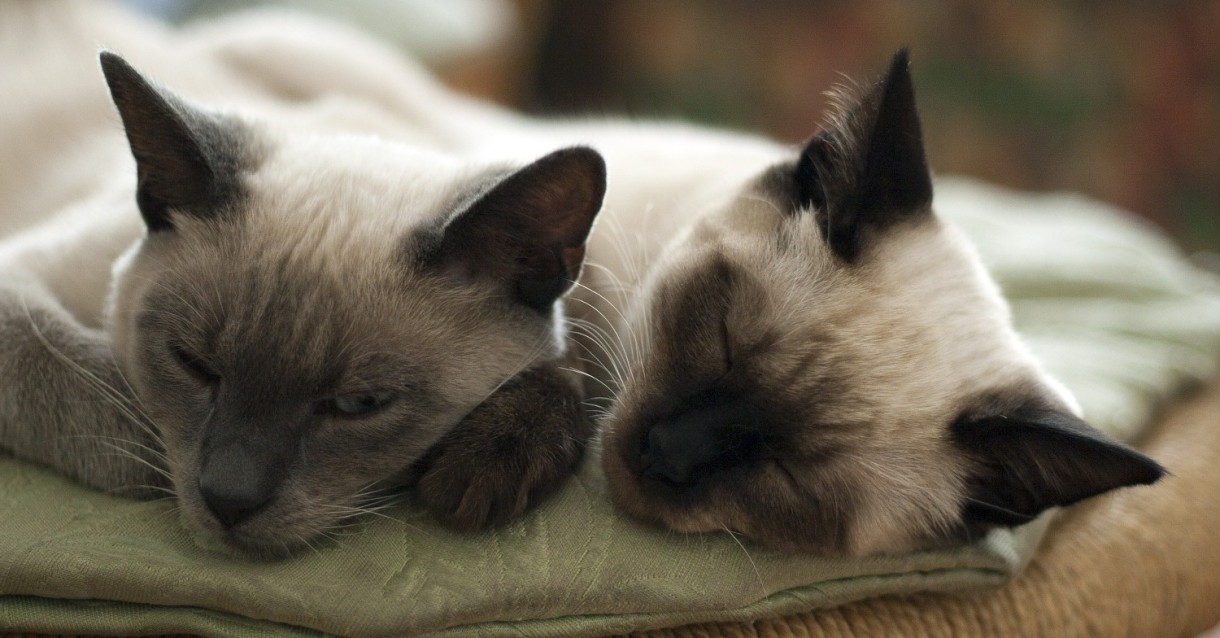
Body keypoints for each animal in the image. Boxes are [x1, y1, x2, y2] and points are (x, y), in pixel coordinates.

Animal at [0, 3, 605, 558]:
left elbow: (565, 363)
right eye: (192, 365)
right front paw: (151, 452)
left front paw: (489, 468)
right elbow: (102, 396)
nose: (227, 500)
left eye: (358, 405)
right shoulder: (21, 280)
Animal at [202, 12, 1171, 556]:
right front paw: (496, 458)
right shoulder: (568, 272)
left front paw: (484, 467)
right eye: (724, 334)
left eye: (790, 472)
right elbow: (546, 350)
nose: (663, 454)